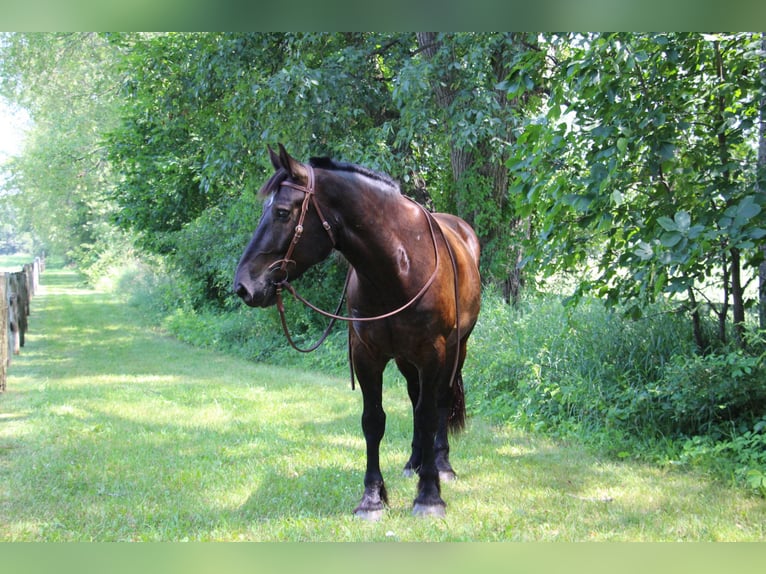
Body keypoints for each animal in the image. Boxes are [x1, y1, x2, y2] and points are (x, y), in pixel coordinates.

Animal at [234, 145, 480, 520]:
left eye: (281, 212)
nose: (243, 286)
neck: (399, 264)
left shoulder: (433, 353)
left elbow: (427, 415)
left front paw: (429, 495)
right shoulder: (367, 355)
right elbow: (373, 421)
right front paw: (372, 497)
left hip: (456, 350)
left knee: (437, 403)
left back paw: (441, 464)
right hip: (406, 360)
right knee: (414, 399)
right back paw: (414, 461)